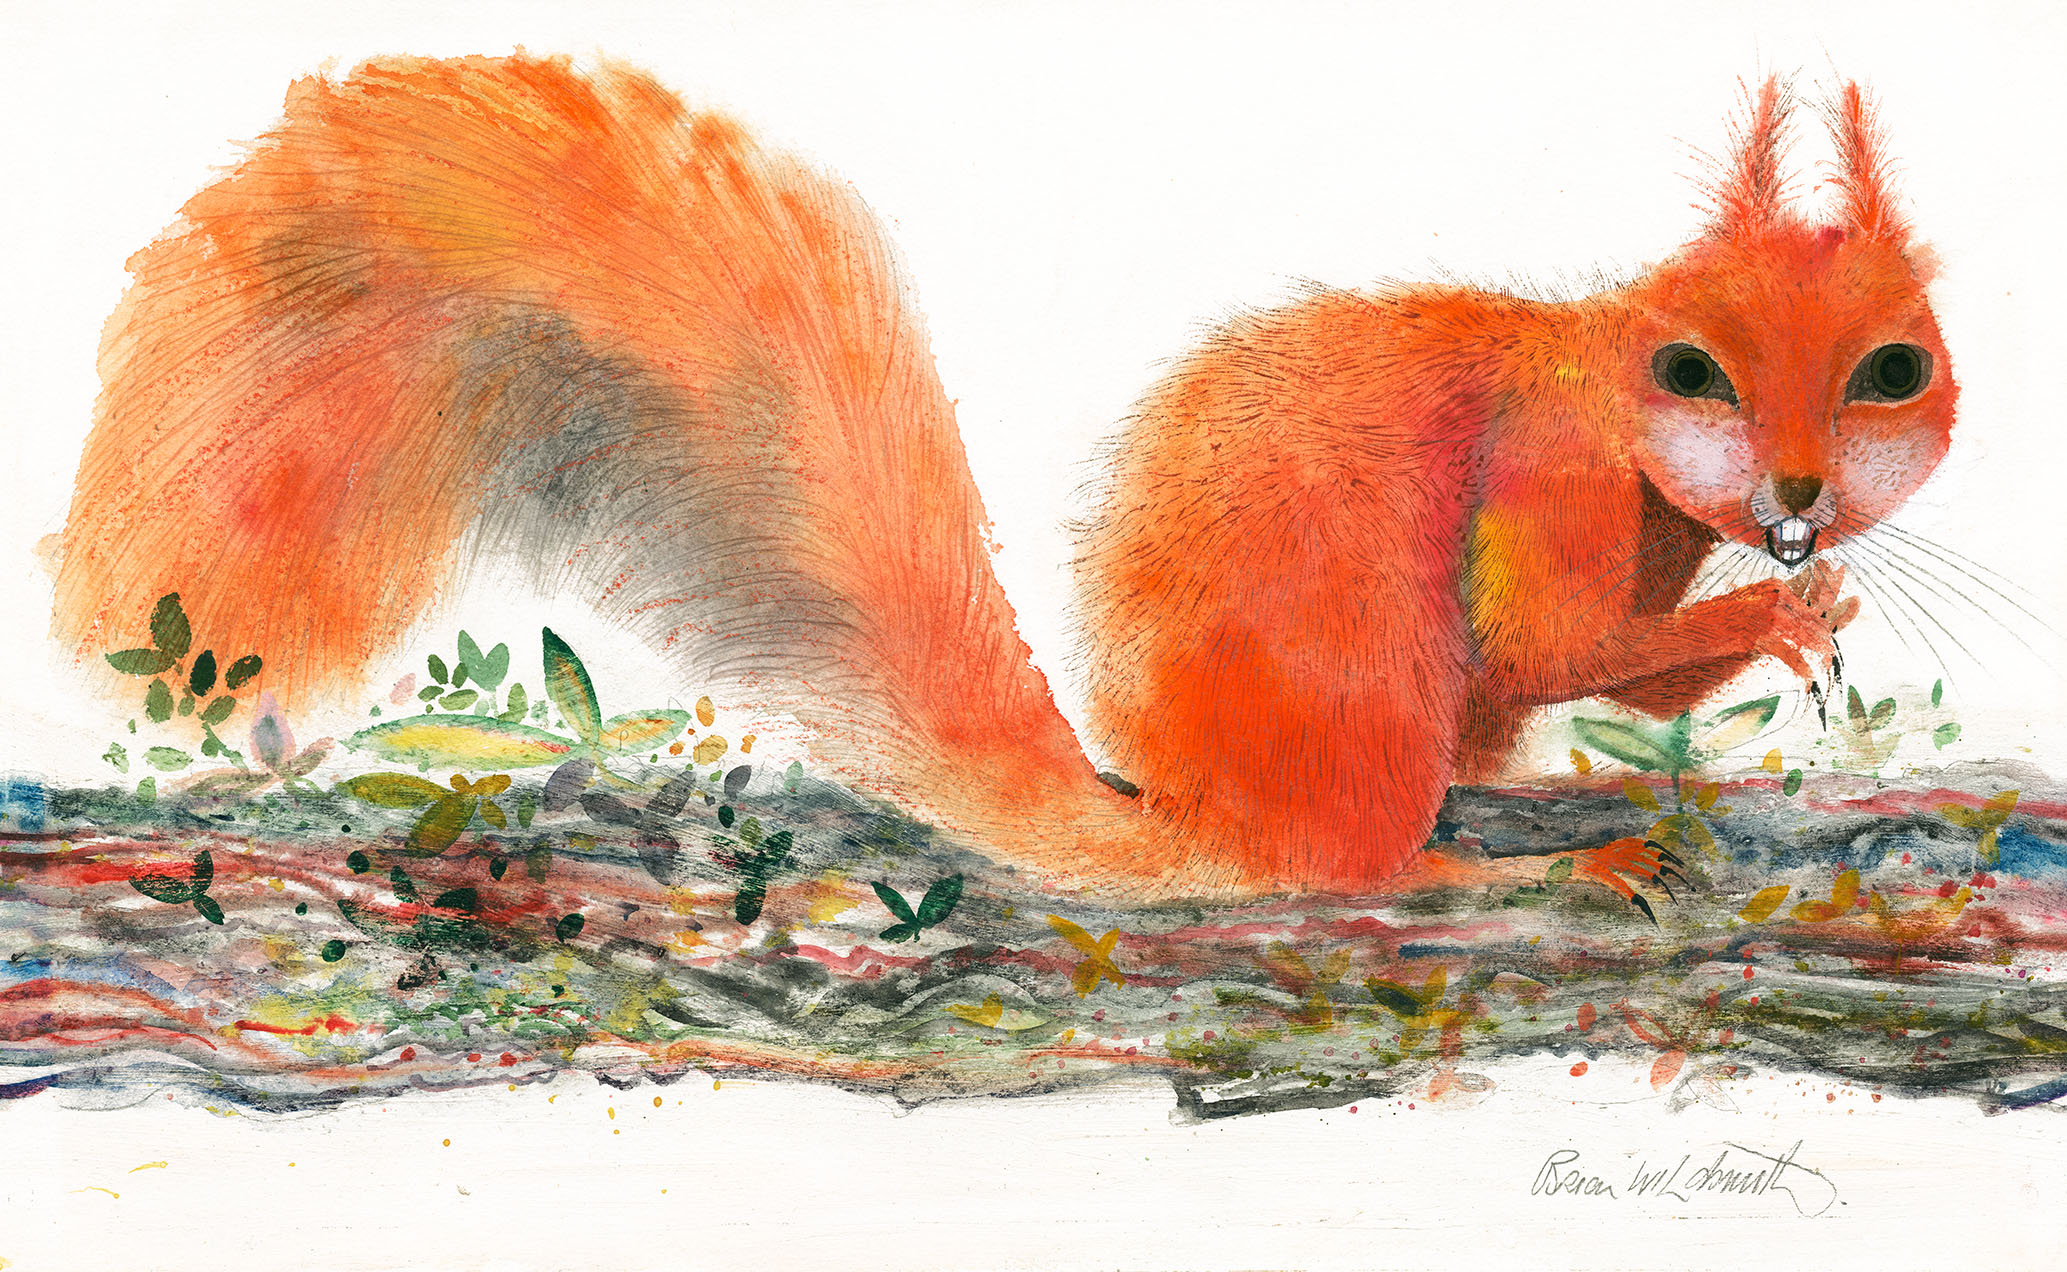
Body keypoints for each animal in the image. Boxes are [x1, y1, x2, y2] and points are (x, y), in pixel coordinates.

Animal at [51, 55, 1954, 899]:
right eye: (1688, 368)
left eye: (1898, 366)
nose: (1793, 501)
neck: (1618, 410)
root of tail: (1209, 818)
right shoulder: (1550, 462)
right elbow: (1554, 638)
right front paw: (1788, 615)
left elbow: (1611, 661)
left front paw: (1806, 602)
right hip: (1368, 702)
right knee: (1345, 872)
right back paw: (1470, 869)